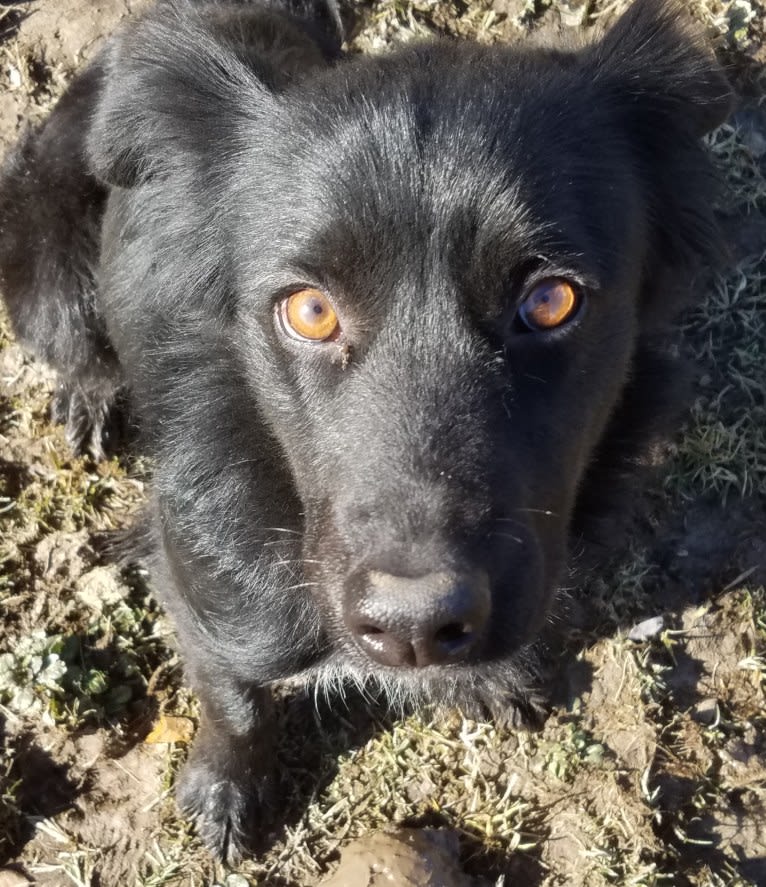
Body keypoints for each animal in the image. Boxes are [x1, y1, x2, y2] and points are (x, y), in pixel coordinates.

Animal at [0, 0, 732, 860]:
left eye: (552, 301)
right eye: (310, 310)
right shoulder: (193, 575)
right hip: (47, 273)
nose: (416, 625)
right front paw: (225, 787)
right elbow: (232, 694)